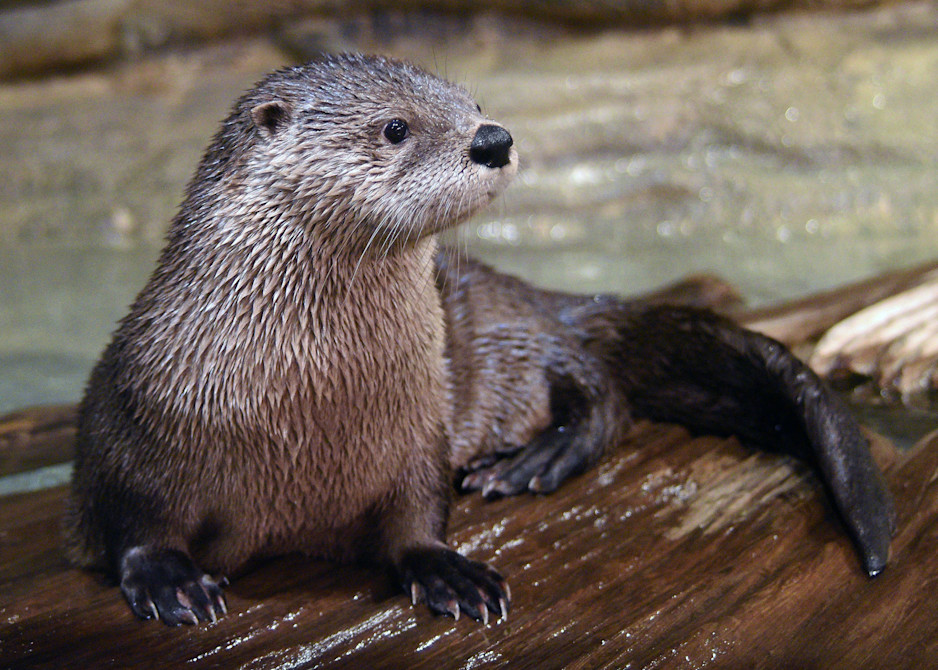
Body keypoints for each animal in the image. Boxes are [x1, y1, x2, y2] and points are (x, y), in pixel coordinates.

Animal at [65, 54, 894, 626]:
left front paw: (449, 570)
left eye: (474, 105)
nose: (493, 138)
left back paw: (529, 461)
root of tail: (543, 296)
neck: (307, 410)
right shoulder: (128, 422)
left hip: (520, 339)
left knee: (601, 396)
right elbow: (130, 519)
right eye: (395, 127)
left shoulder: (418, 430)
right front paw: (170, 580)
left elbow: (419, 515)